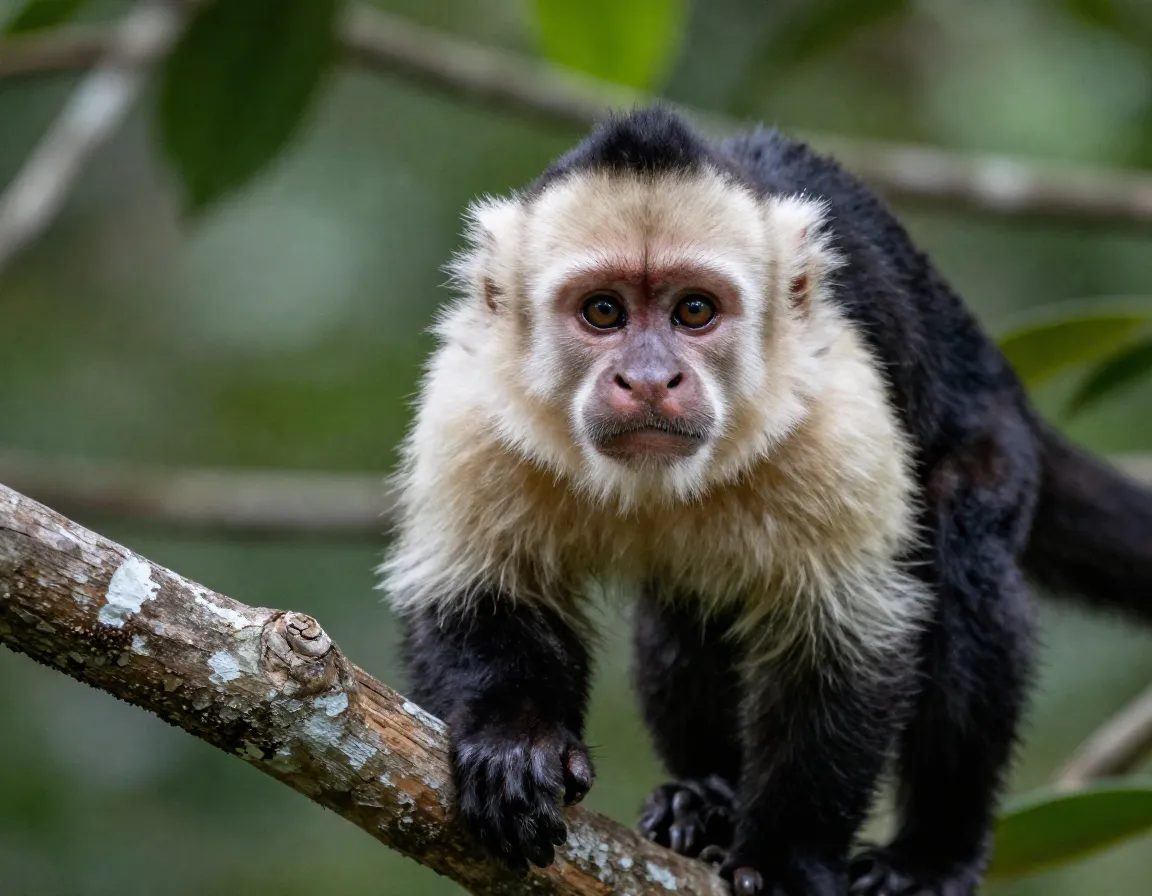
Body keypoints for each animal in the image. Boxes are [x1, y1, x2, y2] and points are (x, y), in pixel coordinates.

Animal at [379, 107, 1152, 895]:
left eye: (694, 311)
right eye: (602, 312)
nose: (649, 379)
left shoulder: (837, 406)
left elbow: (845, 641)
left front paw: (787, 858)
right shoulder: (473, 401)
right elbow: (480, 590)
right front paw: (513, 742)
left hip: (995, 431)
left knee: (963, 542)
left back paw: (934, 853)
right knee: (682, 615)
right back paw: (706, 796)